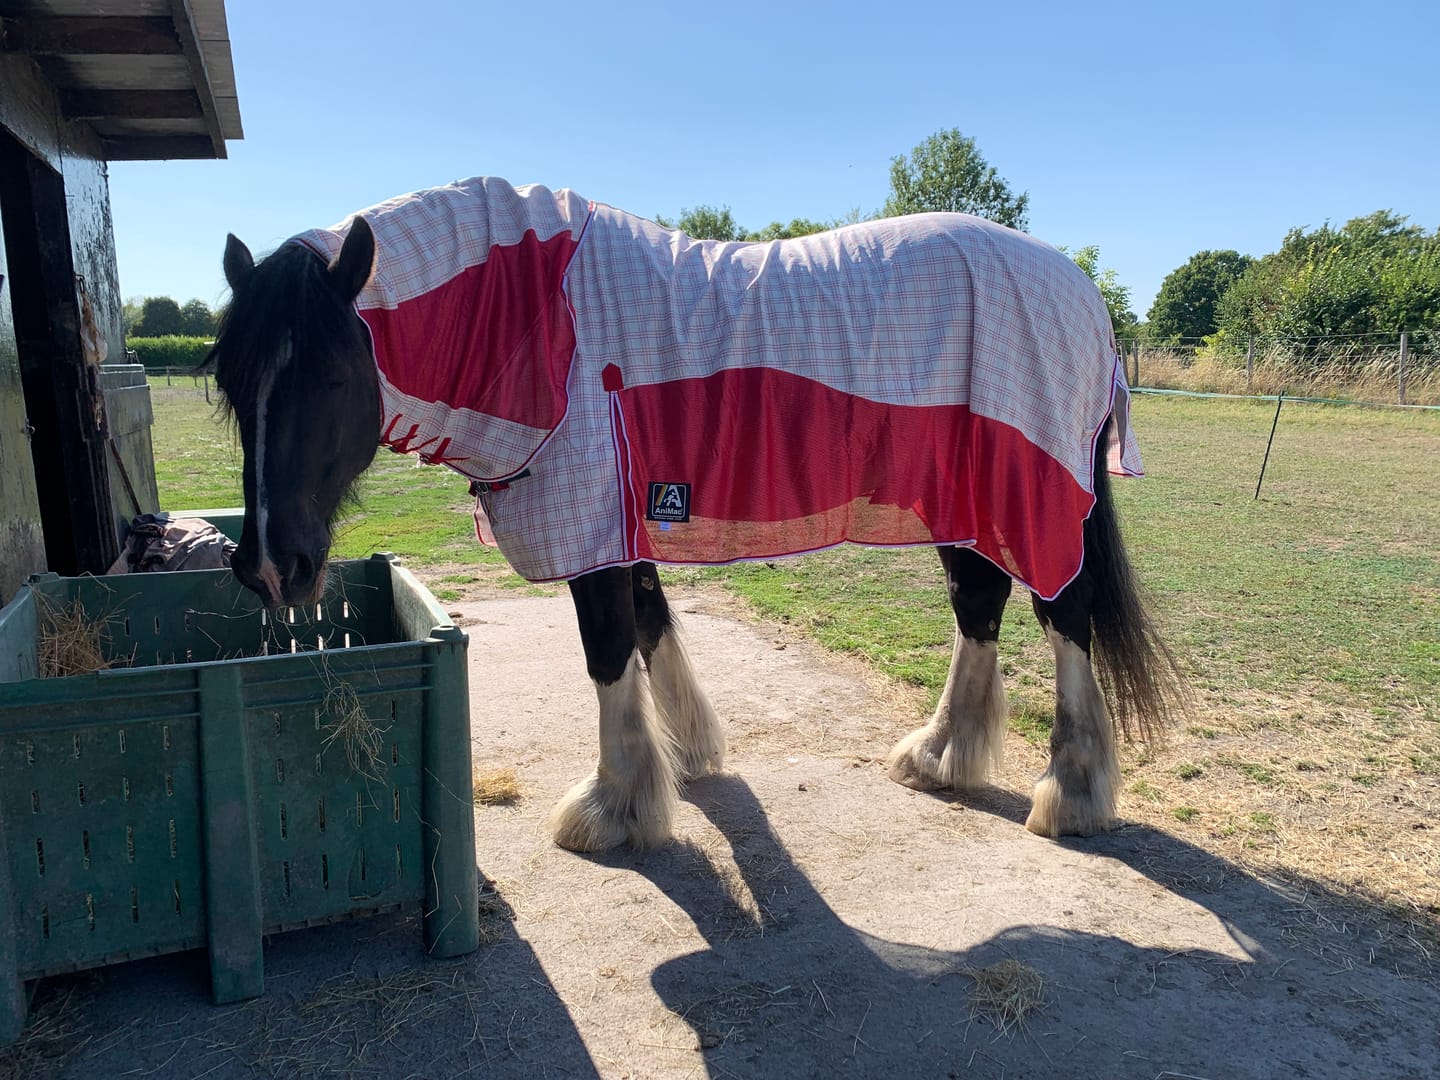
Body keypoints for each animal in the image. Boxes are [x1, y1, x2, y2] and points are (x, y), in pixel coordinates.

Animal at [208, 177, 1182, 853]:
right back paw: (942, 755)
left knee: (1065, 613)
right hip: (961, 500)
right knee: (979, 605)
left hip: (1035, 495)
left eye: (335, 374)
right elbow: (650, 625)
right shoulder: (621, 516)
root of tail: (1082, 293)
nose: (270, 565)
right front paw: (678, 759)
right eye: (230, 380)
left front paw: (612, 808)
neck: (538, 314)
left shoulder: (594, 521)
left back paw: (1073, 790)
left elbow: (609, 651)